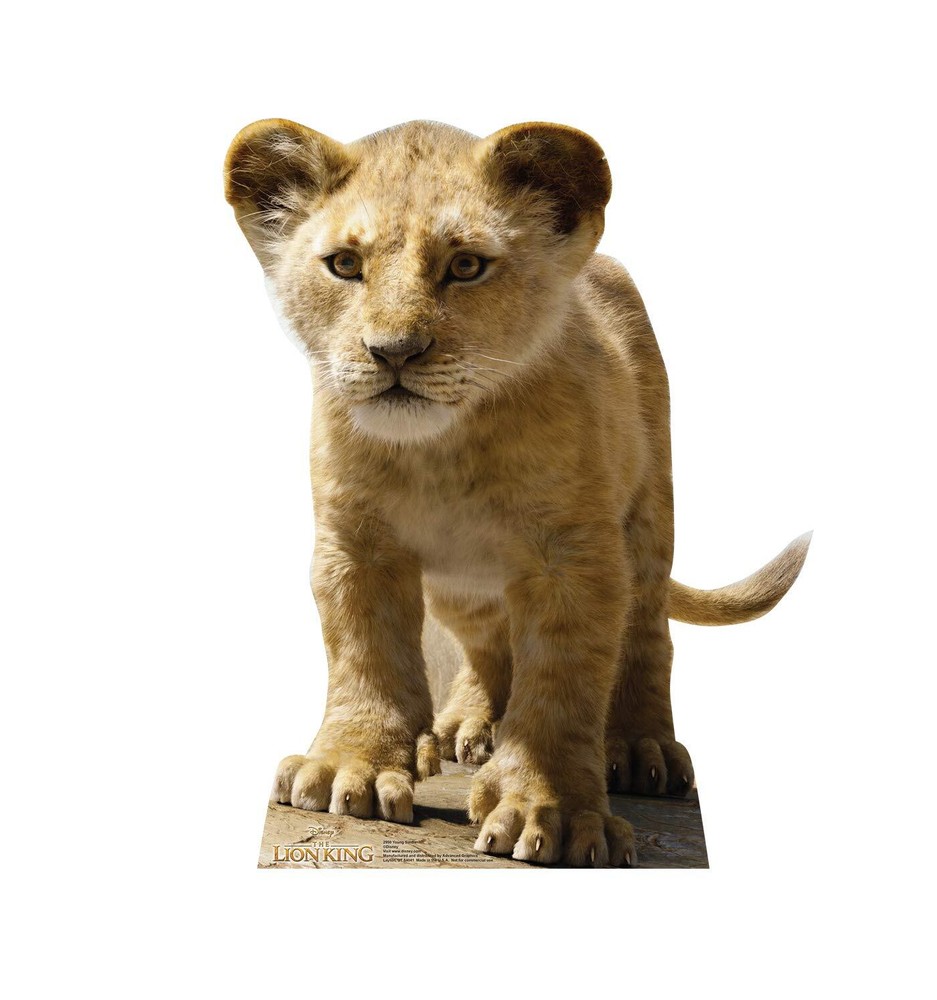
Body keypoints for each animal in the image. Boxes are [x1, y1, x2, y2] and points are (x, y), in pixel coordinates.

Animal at [224, 118, 809, 867]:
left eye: (466, 266)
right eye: (345, 265)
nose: (393, 351)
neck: (442, 451)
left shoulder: (572, 557)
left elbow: (562, 681)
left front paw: (550, 810)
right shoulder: (354, 543)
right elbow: (365, 653)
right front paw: (348, 766)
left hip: (649, 520)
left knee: (646, 634)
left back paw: (640, 749)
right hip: (459, 586)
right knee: (486, 641)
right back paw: (462, 728)